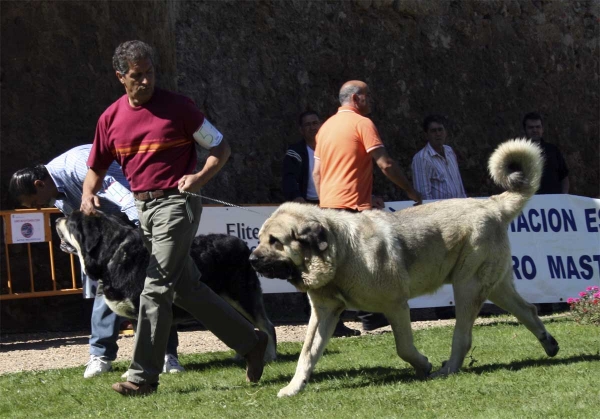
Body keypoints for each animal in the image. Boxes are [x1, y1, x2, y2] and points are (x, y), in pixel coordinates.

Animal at [56, 212, 276, 362]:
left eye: (70, 220)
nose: (57, 219)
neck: (113, 253)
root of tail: (243, 245)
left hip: (243, 297)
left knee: (267, 326)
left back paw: (270, 355)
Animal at [248, 139, 556, 398]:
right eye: (259, 238)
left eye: (275, 241)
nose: (251, 259)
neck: (342, 251)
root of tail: (491, 204)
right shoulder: (324, 313)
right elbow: (307, 354)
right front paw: (293, 387)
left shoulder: (395, 305)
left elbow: (404, 347)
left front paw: (424, 365)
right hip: (495, 286)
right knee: (528, 310)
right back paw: (549, 343)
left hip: (468, 287)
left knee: (464, 336)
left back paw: (448, 368)